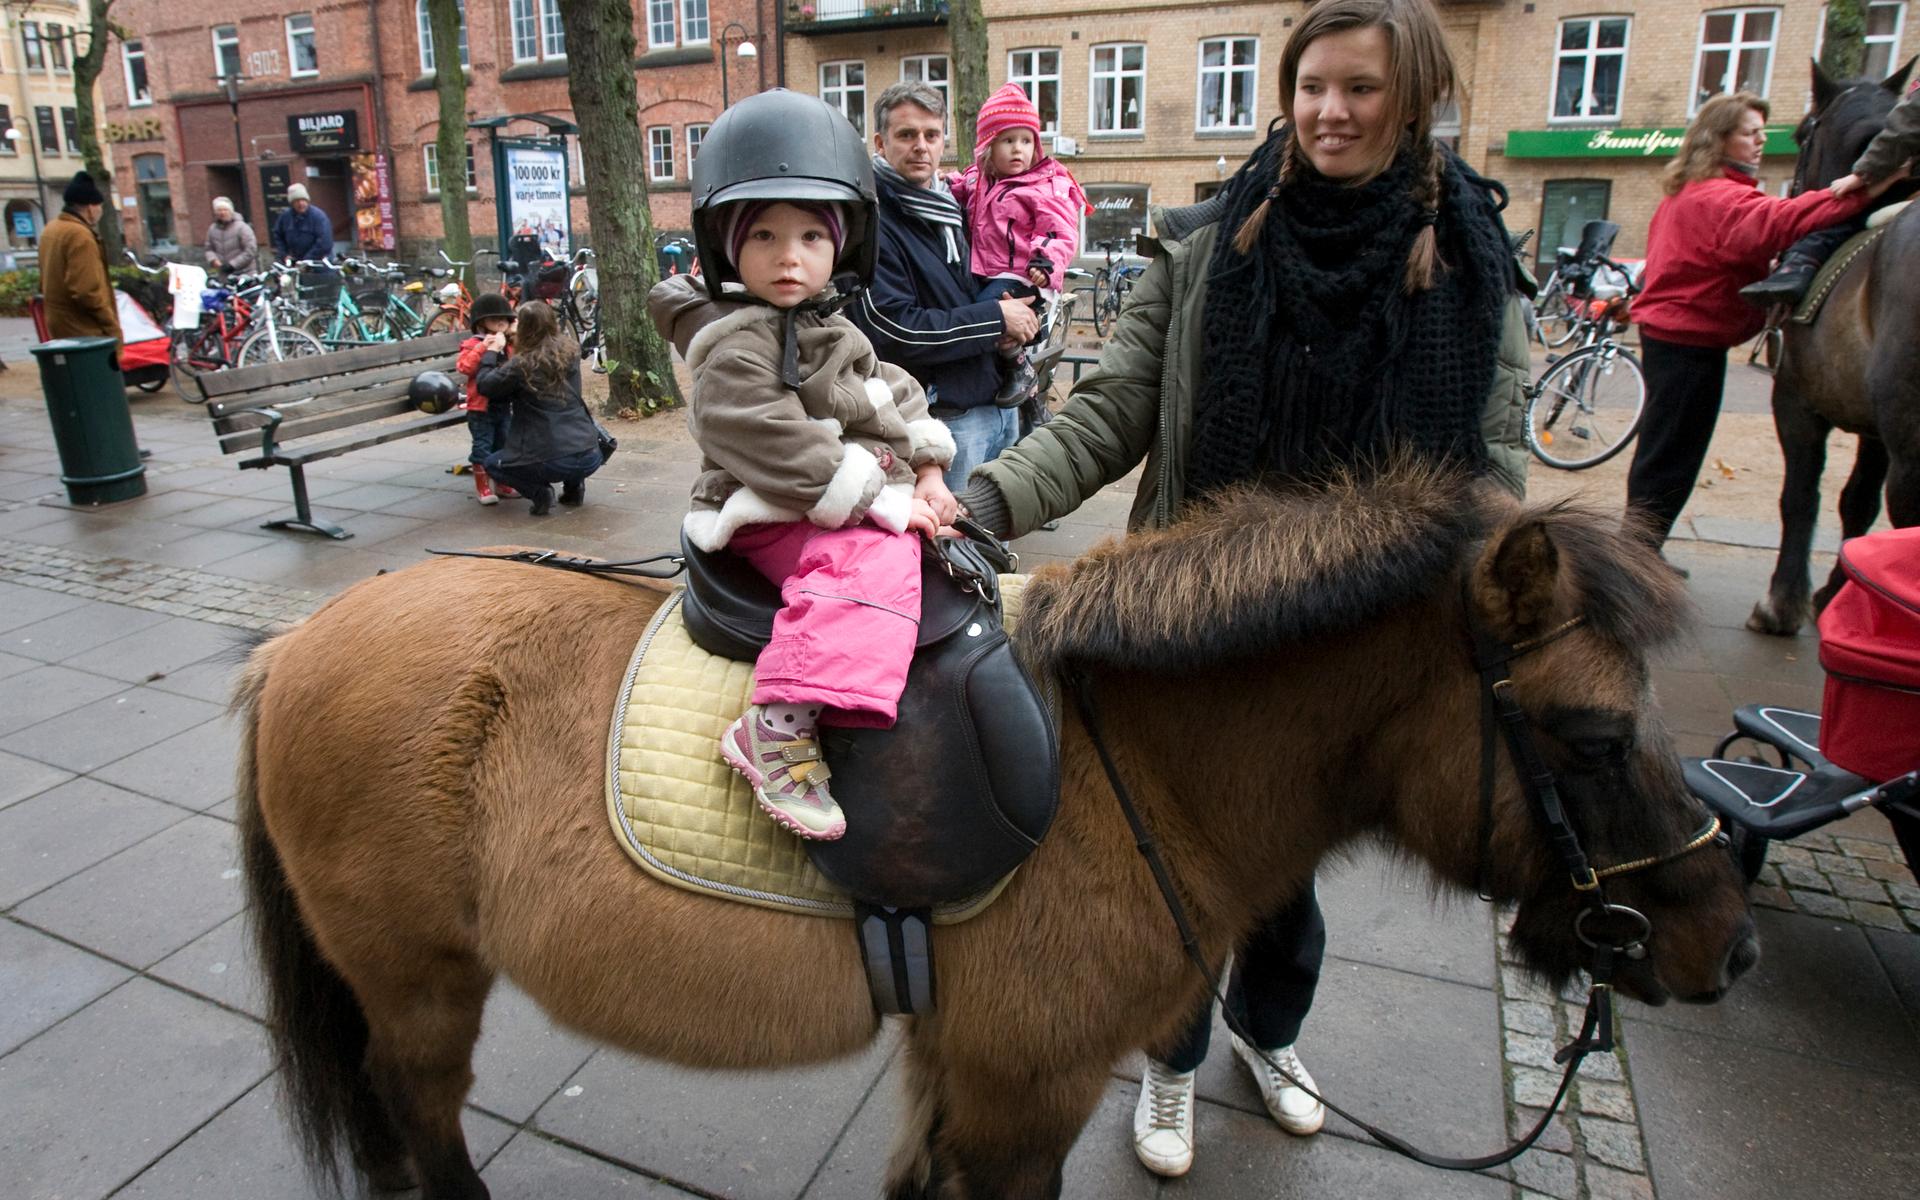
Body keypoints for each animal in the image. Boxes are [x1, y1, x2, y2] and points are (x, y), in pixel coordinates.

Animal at [236, 460, 1758, 1198]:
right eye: (1593, 735)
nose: (1725, 945)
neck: (1128, 764)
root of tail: (297, 643)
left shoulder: (960, 1076)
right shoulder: (1031, 1095)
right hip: (418, 984)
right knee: (420, 1121)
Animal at [1758, 59, 1920, 633]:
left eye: (1802, 132)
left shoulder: (1795, 400)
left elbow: (1802, 498)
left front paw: (1788, 602)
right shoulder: (1870, 426)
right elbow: (1851, 502)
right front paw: (1829, 594)